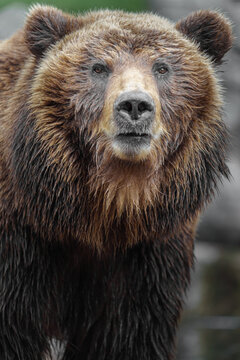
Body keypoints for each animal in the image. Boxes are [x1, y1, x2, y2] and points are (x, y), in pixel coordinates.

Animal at [0, 5, 232, 360]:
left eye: (162, 67)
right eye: (99, 67)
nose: (135, 105)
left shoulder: (148, 256)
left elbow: (128, 337)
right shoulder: (20, 243)